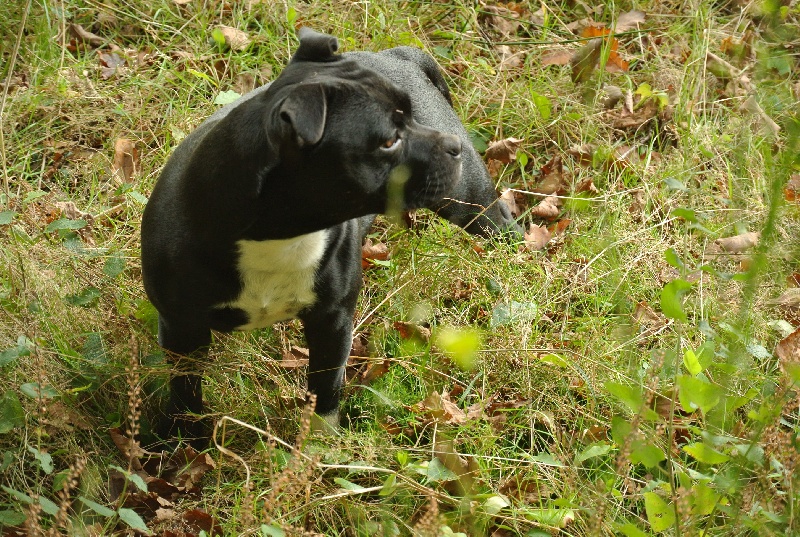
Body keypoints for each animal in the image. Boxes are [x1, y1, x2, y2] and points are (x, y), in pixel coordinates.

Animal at [140, 27, 520, 444]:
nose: (452, 146)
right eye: (389, 141)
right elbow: (186, 390)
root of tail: (397, 55)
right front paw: (188, 442)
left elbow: (325, 387)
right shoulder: (182, 328)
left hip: (468, 201)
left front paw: (318, 445)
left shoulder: (332, 321)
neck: (276, 235)